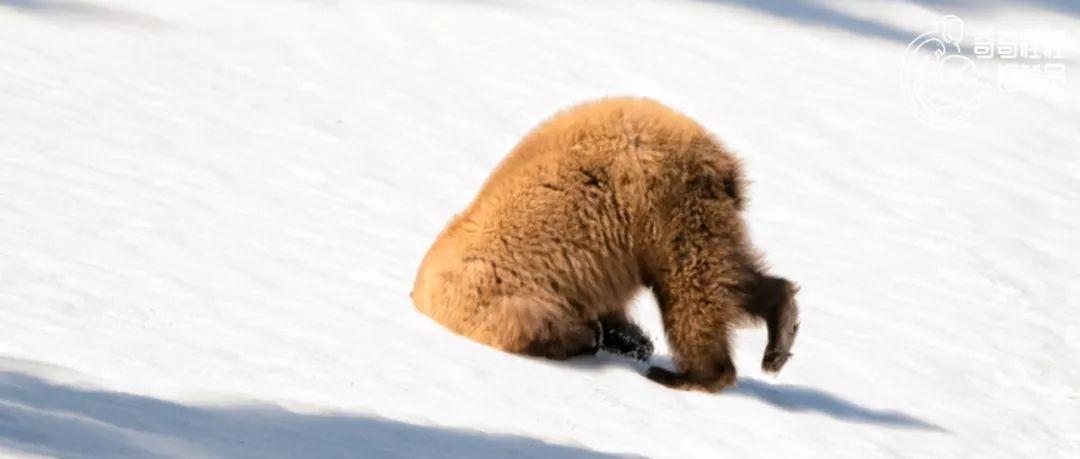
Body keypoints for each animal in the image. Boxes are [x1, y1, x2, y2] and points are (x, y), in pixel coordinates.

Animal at [412, 96, 803, 390]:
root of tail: (714, 156)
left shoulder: (500, 297)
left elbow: (541, 326)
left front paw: (598, 338)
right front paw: (630, 339)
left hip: (661, 207)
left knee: (691, 288)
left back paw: (689, 375)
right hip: (697, 213)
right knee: (727, 273)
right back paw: (779, 331)